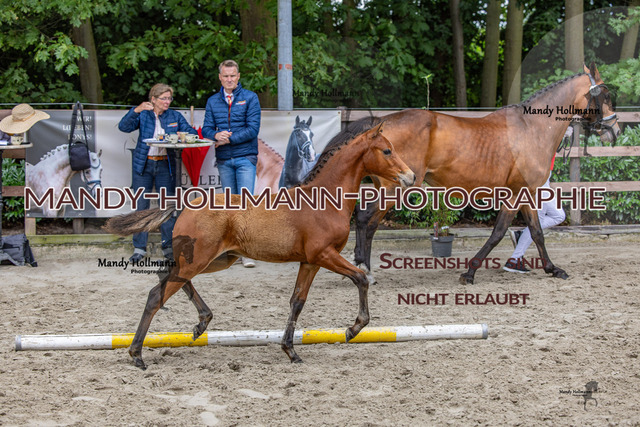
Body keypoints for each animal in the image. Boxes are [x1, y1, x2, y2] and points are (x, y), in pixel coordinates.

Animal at [104, 123, 415, 369]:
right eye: (387, 151)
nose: (410, 176)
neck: (323, 199)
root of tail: (186, 203)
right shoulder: (324, 255)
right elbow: (361, 278)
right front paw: (353, 329)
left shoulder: (310, 261)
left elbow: (297, 301)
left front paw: (290, 351)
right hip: (200, 259)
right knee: (157, 294)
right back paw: (137, 354)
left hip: (217, 259)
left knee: (166, 277)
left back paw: (202, 322)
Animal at [350, 63, 620, 285]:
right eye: (606, 95)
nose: (614, 130)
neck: (532, 129)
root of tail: (381, 125)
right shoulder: (515, 195)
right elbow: (498, 233)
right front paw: (469, 272)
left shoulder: (527, 194)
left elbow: (537, 232)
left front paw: (553, 269)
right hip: (395, 187)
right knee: (365, 219)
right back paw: (364, 269)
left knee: (369, 223)